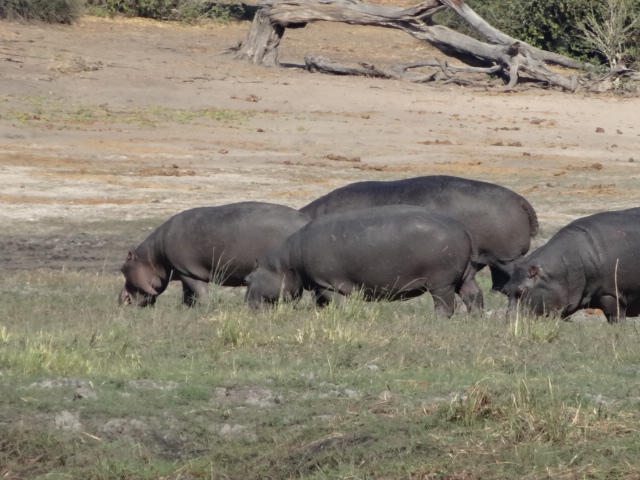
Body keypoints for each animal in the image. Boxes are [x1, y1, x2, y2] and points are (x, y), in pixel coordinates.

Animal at [119, 202, 310, 307]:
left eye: (122, 269)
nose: (120, 300)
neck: (152, 258)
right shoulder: (183, 271)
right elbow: (187, 294)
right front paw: (187, 308)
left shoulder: (186, 270)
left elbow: (199, 291)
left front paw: (203, 307)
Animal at [245, 205, 484, 317]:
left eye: (248, 278)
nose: (246, 305)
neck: (284, 265)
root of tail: (464, 228)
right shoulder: (317, 284)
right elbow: (321, 304)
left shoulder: (326, 283)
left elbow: (336, 302)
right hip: (466, 275)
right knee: (474, 296)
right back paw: (475, 319)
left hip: (442, 282)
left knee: (445, 306)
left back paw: (436, 320)